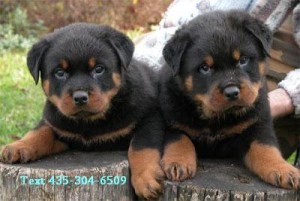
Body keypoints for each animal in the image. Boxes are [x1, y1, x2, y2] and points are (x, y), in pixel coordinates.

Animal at [0, 22, 164, 199]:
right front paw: (18, 146)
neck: (88, 122)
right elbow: (40, 131)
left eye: (98, 69)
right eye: (60, 72)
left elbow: (140, 146)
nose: (80, 97)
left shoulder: (151, 117)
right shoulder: (58, 125)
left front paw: (145, 179)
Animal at [159, 10, 300, 189]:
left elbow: (266, 149)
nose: (232, 92)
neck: (216, 119)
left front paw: (284, 169)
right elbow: (180, 140)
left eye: (243, 60)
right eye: (205, 68)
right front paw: (178, 163)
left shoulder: (257, 124)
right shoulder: (172, 122)